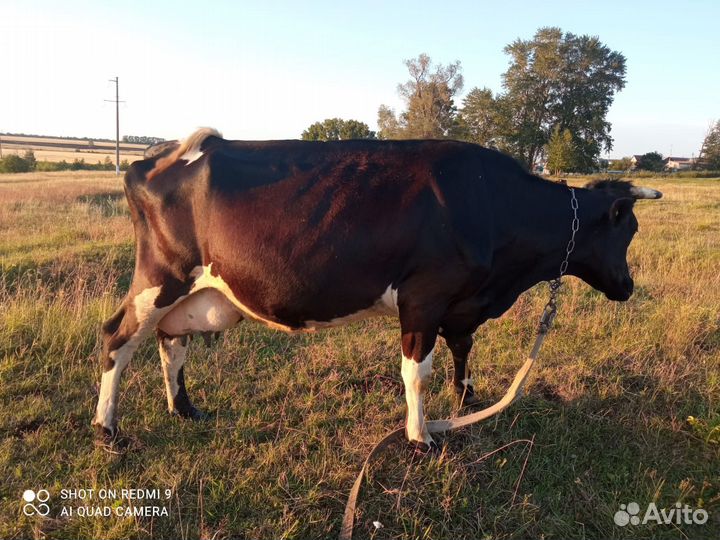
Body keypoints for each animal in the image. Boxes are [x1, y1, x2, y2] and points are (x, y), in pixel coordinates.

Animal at [93, 128, 662, 451]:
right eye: (629, 230)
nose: (628, 286)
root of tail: (163, 154)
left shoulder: (461, 303)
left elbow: (462, 351)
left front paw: (465, 402)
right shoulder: (424, 298)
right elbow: (417, 374)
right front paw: (421, 438)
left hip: (197, 293)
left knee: (171, 342)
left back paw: (183, 409)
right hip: (160, 277)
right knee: (117, 339)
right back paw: (107, 430)